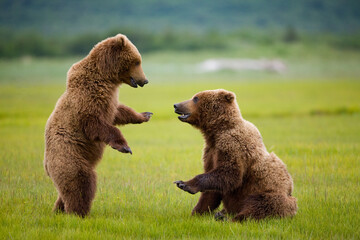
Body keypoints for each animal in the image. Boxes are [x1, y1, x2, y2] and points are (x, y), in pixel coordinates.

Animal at [44, 33, 152, 218]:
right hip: (68, 156)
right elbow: (96, 124)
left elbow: (118, 113)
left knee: (65, 191)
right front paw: (124, 147)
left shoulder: (109, 99)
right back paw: (78, 213)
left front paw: (144, 115)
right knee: (80, 182)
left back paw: (59, 210)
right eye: (137, 61)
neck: (106, 77)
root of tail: (45, 165)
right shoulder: (88, 98)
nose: (145, 80)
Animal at [174, 88, 296, 221]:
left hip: (271, 195)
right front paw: (196, 212)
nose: (176, 105)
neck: (217, 132)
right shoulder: (211, 151)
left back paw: (229, 218)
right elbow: (211, 189)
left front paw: (184, 184)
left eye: (196, 98)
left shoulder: (233, 145)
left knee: (259, 206)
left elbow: (230, 174)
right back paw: (221, 214)